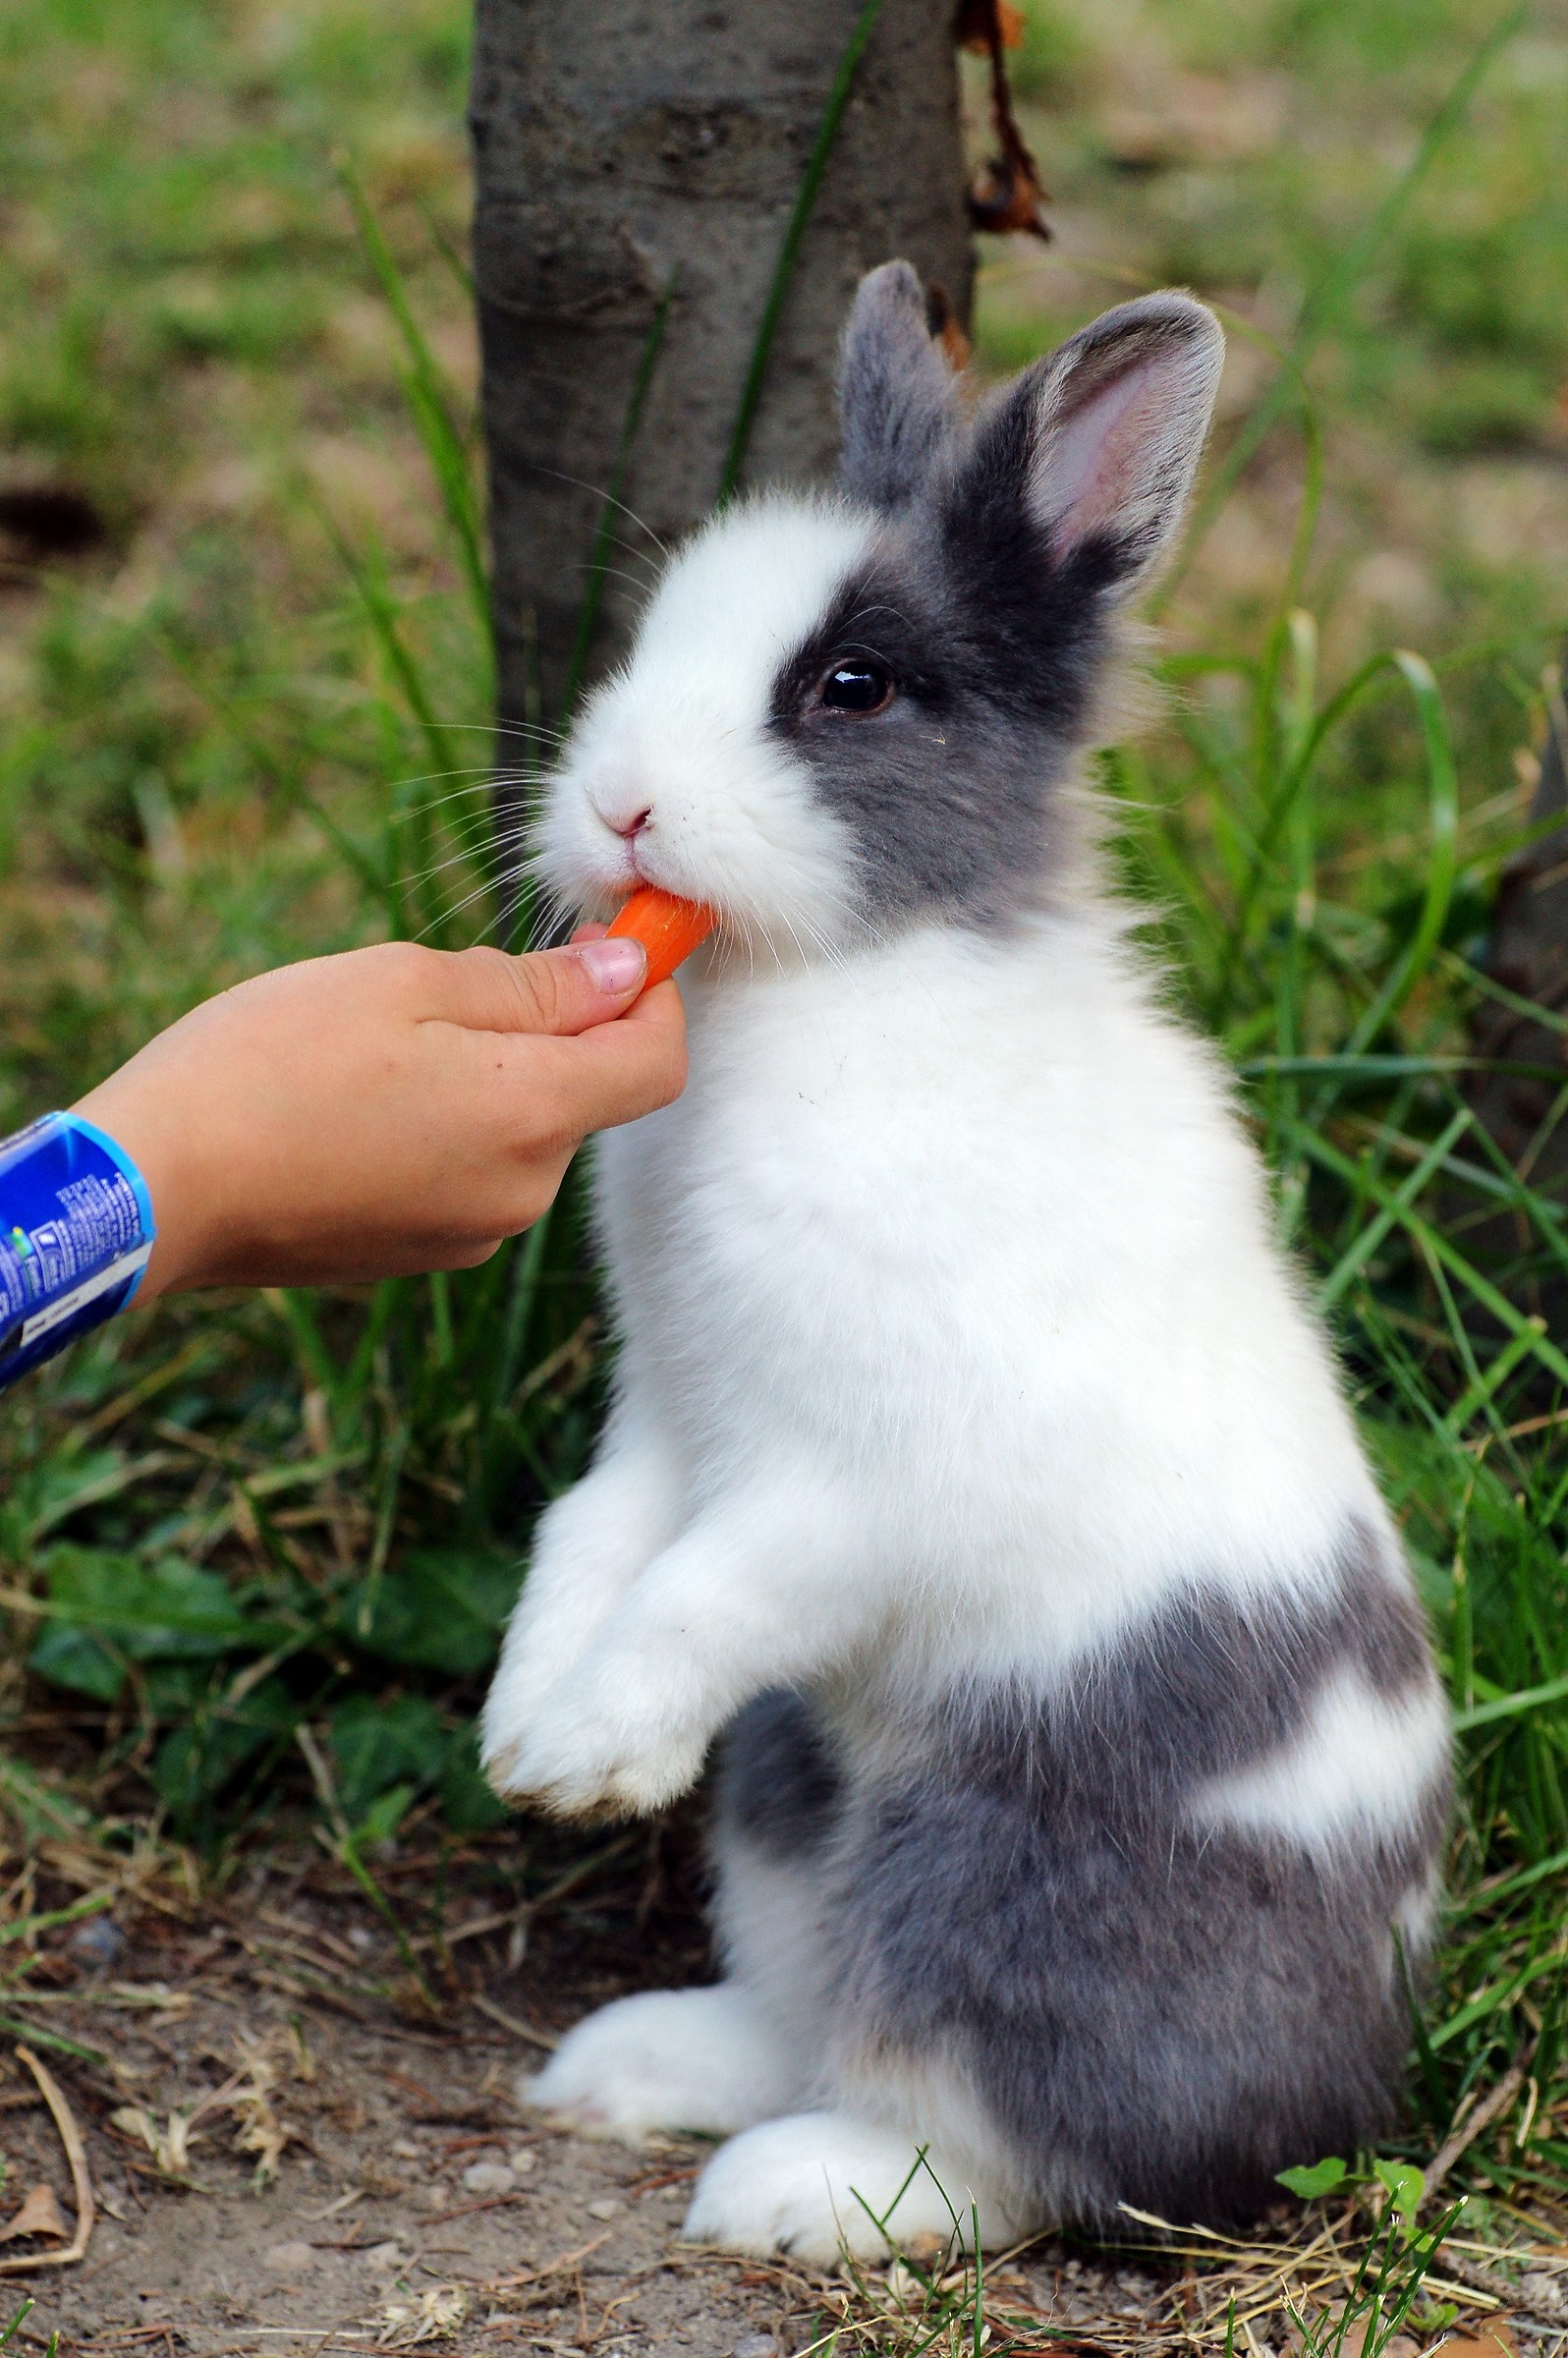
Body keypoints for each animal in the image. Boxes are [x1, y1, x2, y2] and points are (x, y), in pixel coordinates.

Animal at [479, 265, 1451, 2266]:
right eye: (655, 632)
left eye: (849, 687)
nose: (619, 804)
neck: (827, 987)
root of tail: (1350, 2092)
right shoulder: (669, 1421)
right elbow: (586, 1543)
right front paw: (528, 1738)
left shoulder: (844, 1489)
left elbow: (694, 1594)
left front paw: (591, 1754)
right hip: (792, 1789)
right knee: (804, 1990)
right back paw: (636, 2070)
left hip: (990, 1875)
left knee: (1019, 2145)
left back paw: (792, 2194)